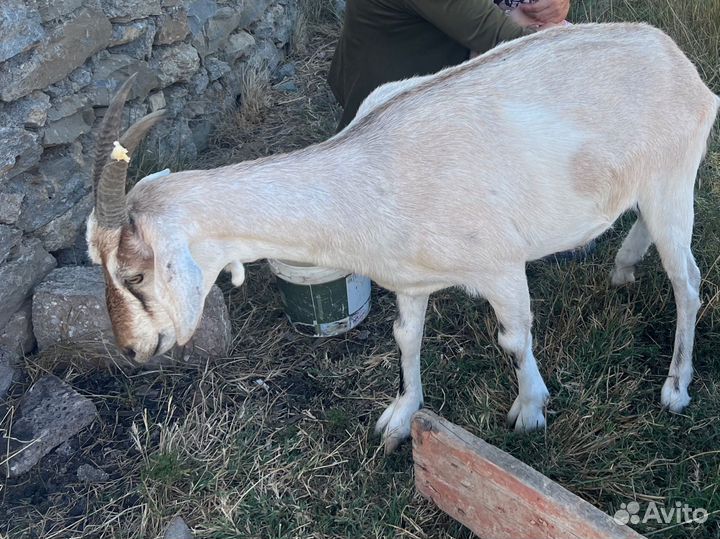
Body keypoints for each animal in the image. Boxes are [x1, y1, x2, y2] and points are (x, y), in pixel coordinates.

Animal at [87, 23, 719, 453]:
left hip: (672, 177)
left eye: (136, 273)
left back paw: (675, 387)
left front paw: (530, 411)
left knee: (686, 280)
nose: (132, 349)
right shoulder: (410, 281)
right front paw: (399, 418)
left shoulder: (501, 268)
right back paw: (624, 266)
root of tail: (681, 66)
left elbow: (515, 339)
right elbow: (405, 337)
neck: (370, 173)